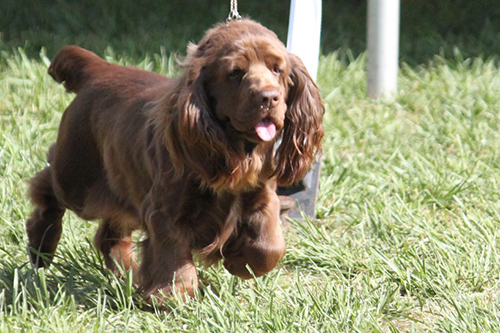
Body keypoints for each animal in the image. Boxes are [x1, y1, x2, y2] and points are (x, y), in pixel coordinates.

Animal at [26, 20, 324, 300]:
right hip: (78, 178)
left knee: (109, 234)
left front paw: (238, 260)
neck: (236, 151)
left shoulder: (262, 196)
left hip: (123, 186)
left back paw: (129, 276)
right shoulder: (165, 211)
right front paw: (172, 296)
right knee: (47, 183)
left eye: (277, 69)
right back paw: (41, 246)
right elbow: (173, 256)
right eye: (235, 73)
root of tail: (99, 69)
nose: (269, 98)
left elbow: (269, 247)